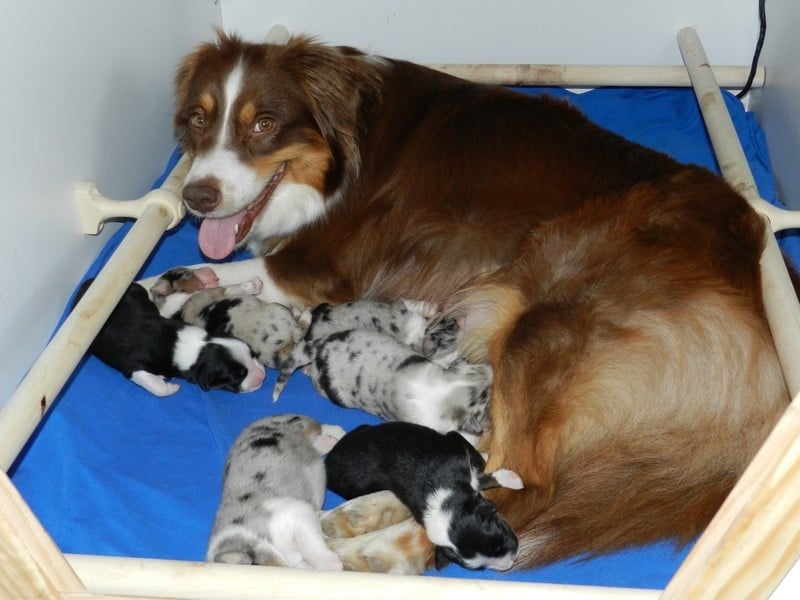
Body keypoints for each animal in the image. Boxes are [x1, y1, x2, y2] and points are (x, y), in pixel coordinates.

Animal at [74, 278, 266, 396]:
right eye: (239, 376)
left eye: (253, 354)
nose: (263, 376)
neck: (197, 349)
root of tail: (88, 284)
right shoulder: (133, 366)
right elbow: (155, 386)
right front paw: (171, 387)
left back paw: (250, 286)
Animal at [206, 414, 344, 568]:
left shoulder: (295, 512)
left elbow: (308, 544)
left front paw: (332, 565)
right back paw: (330, 440)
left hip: (295, 423)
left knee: (317, 427)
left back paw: (338, 432)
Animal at [326, 422, 524, 572]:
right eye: (481, 568)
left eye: (499, 543)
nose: (510, 562)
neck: (441, 496)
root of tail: (328, 461)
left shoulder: (455, 443)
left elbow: (477, 462)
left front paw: (510, 478)